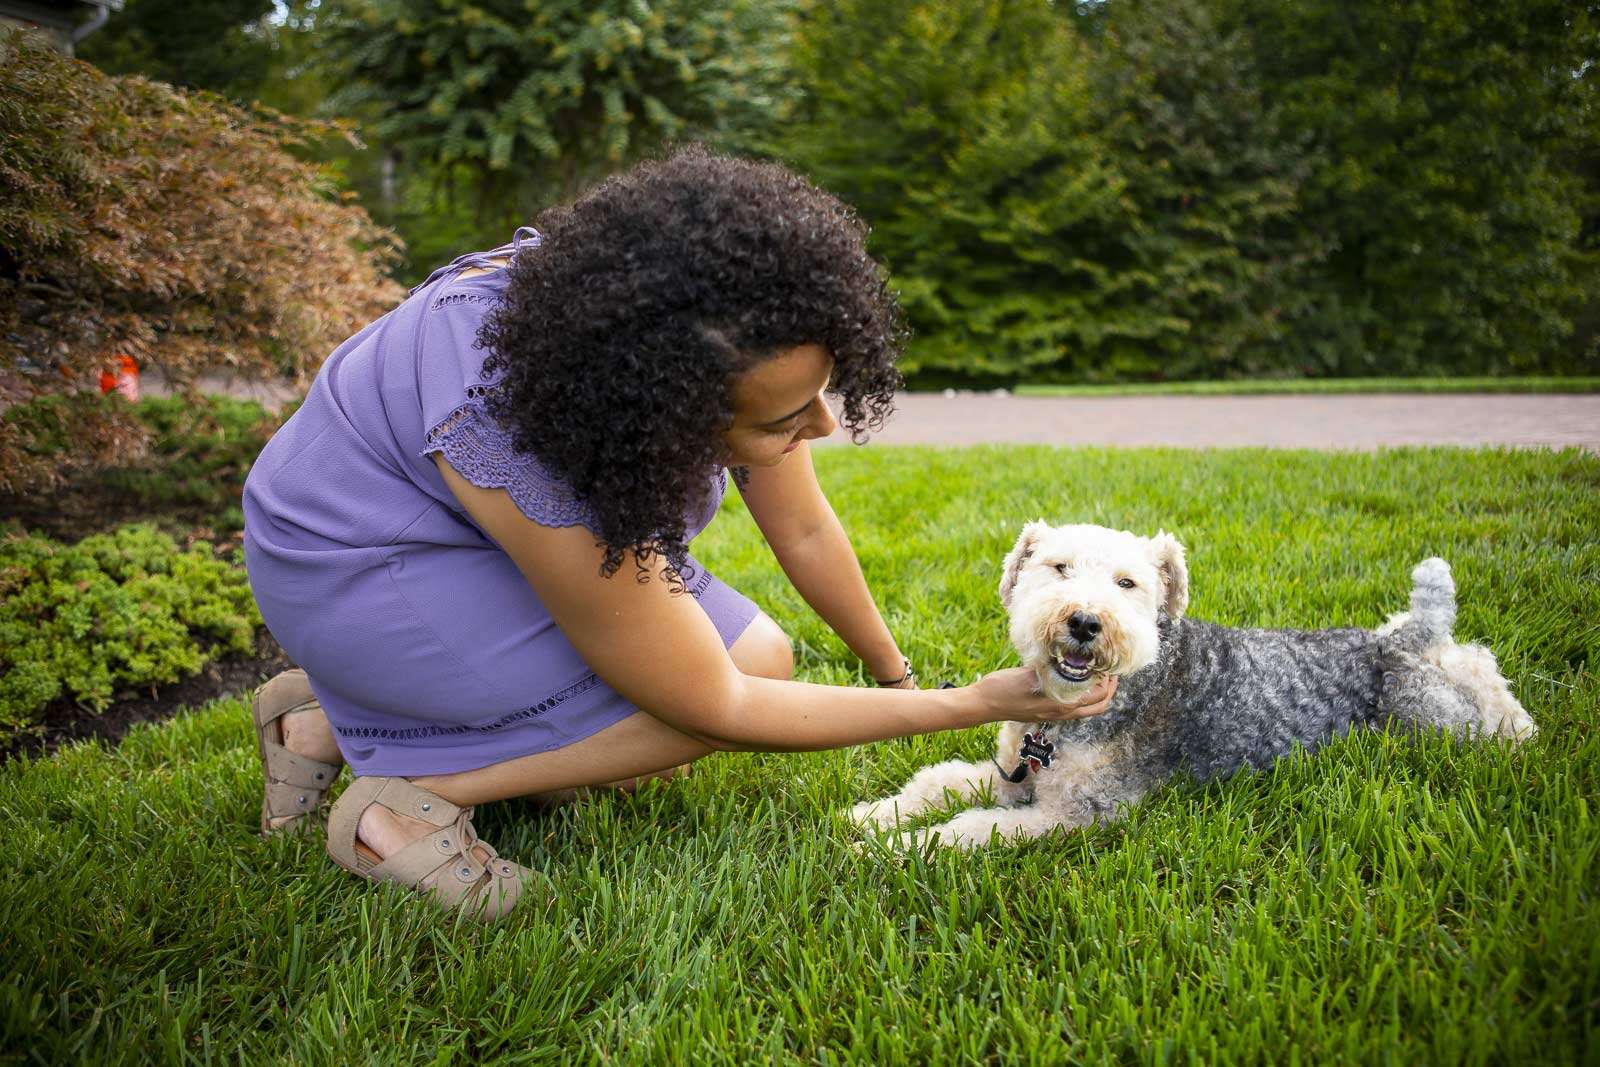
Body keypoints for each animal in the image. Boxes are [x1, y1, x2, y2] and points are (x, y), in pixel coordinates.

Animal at [851, 518, 1536, 851]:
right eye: (1058, 567)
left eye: (1127, 583)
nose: (1085, 623)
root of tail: (1400, 641)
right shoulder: (1016, 774)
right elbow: (938, 782)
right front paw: (869, 818)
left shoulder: (1077, 814)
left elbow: (970, 829)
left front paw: (890, 850)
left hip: (1434, 721)